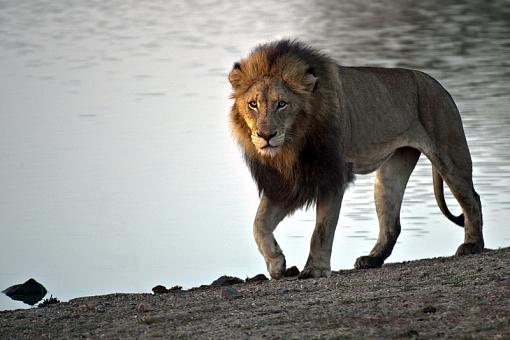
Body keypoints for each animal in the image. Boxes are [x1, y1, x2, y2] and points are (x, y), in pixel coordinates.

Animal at [229, 39, 484, 278]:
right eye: (253, 104)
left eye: (282, 104)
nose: (266, 135)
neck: (292, 146)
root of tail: (437, 84)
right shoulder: (288, 182)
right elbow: (259, 224)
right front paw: (277, 264)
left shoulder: (332, 175)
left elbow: (322, 229)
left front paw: (316, 269)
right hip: (391, 172)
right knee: (392, 223)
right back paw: (372, 259)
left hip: (449, 154)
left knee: (472, 198)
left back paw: (472, 245)